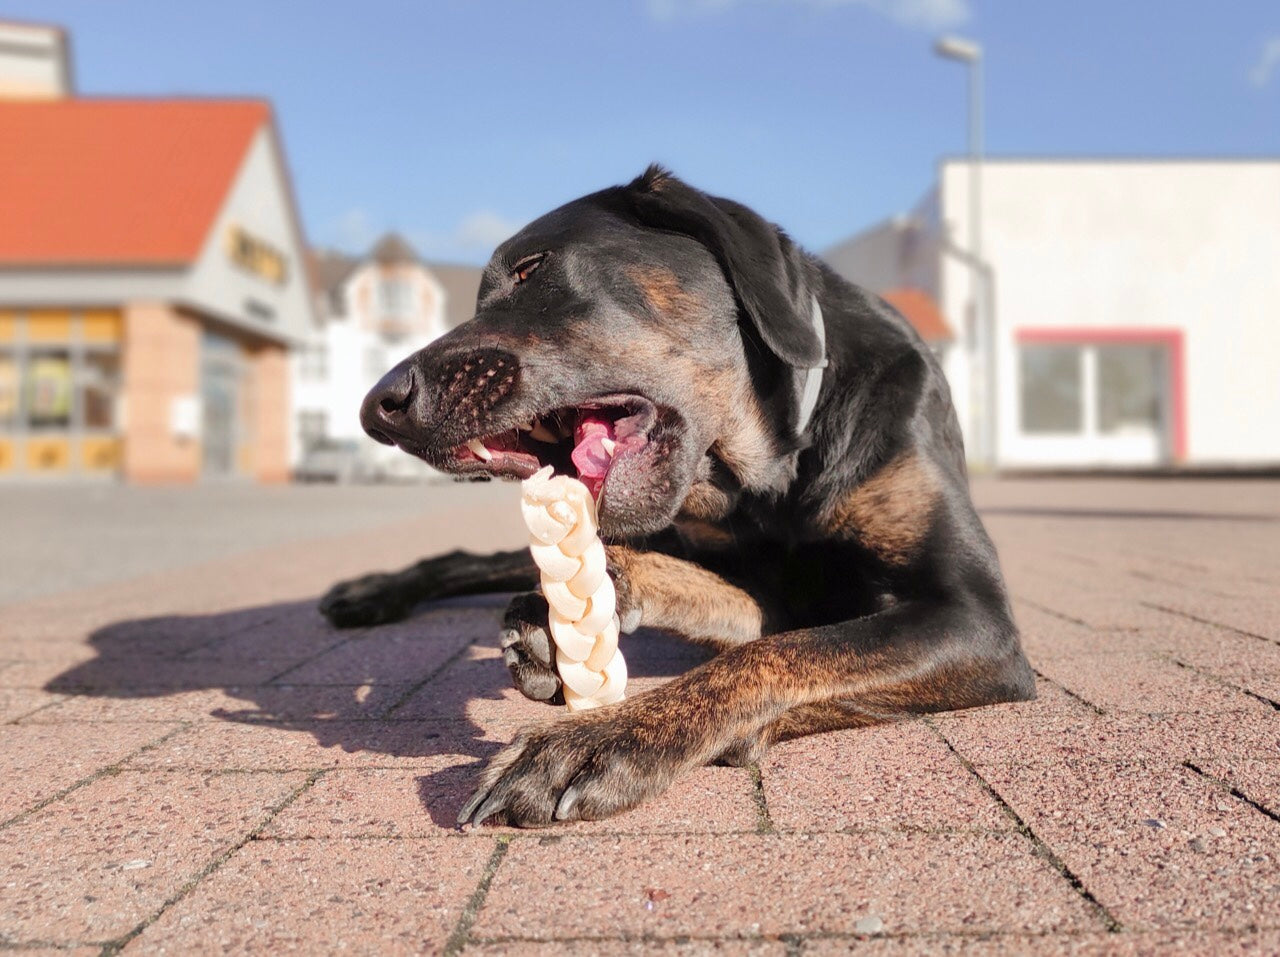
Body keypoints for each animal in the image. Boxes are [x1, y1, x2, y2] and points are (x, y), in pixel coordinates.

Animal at [317, 167, 1029, 823]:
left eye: (532, 269)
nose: (378, 408)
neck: (771, 476)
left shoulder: (971, 616)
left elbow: (772, 655)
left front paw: (600, 737)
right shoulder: (772, 589)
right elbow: (746, 623)